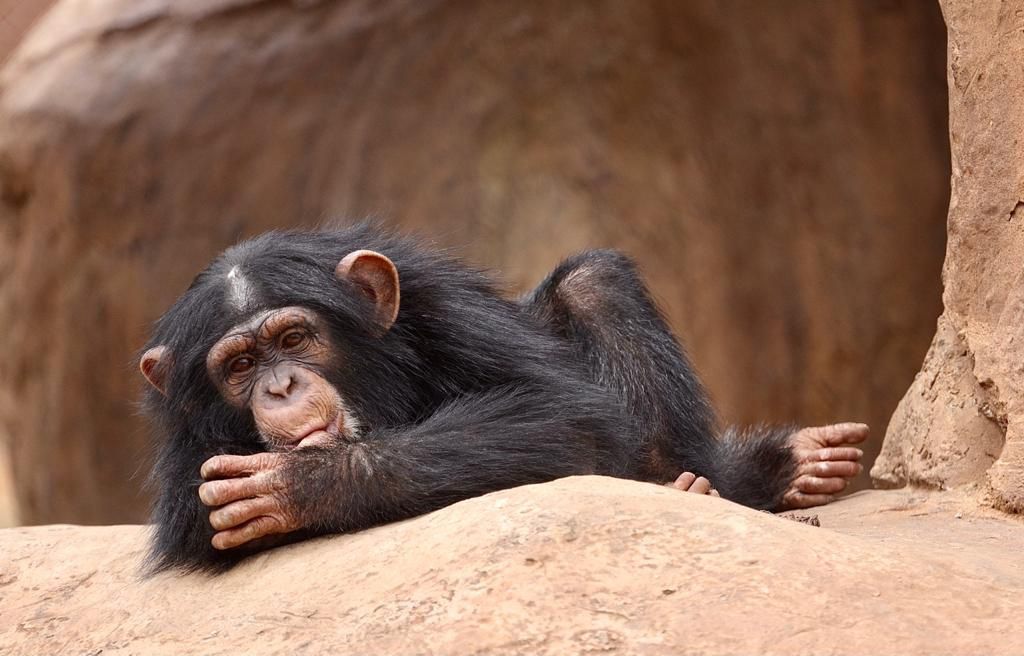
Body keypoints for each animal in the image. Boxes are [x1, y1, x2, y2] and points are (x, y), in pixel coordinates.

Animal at [142, 221, 864, 569]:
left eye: (293, 337)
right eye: (240, 365)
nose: (280, 385)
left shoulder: (444, 309)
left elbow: (567, 413)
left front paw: (303, 484)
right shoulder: (191, 453)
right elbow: (202, 528)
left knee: (591, 283)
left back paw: (715, 481)